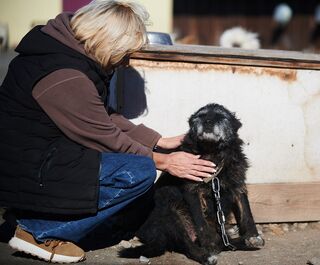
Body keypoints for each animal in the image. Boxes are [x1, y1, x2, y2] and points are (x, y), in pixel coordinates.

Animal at [119, 103, 264, 264]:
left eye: (221, 116)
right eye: (201, 116)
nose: (207, 122)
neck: (212, 154)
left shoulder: (238, 185)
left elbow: (246, 213)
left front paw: (253, 236)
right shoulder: (192, 191)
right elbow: (201, 223)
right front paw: (209, 245)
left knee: (222, 241)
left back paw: (239, 240)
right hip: (170, 212)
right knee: (187, 244)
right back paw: (206, 255)